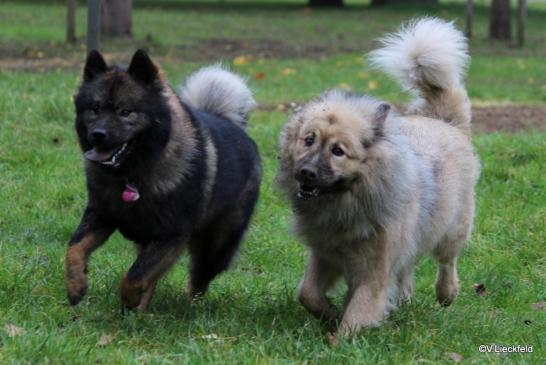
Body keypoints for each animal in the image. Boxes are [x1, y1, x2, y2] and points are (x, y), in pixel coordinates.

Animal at [276, 17, 476, 336]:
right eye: (308, 140)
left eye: (338, 151)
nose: (306, 172)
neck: (347, 201)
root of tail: (443, 121)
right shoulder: (324, 254)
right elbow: (307, 293)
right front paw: (329, 313)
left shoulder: (374, 271)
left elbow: (357, 313)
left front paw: (339, 338)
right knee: (408, 269)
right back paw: (405, 299)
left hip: (452, 229)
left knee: (447, 262)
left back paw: (447, 293)